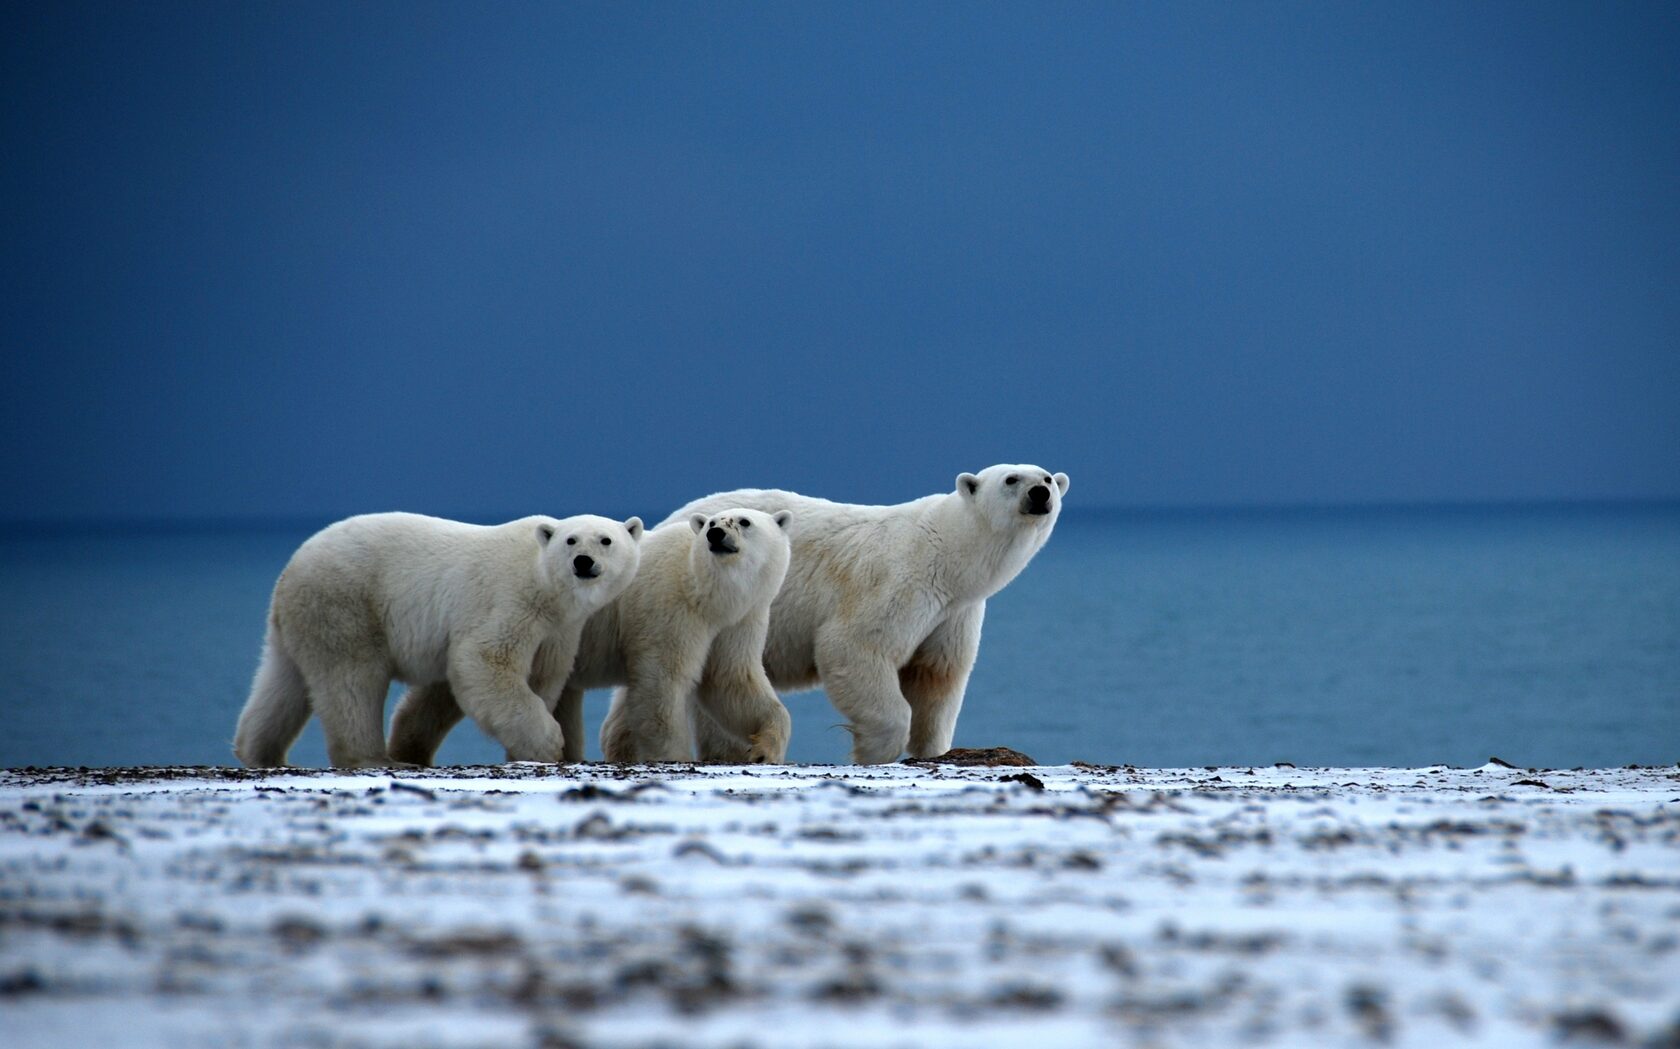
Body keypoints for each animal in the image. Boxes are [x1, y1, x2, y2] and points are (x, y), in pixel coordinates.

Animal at [240, 511, 645, 766]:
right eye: (571, 540)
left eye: (606, 540)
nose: (583, 561)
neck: (544, 585)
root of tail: (293, 565)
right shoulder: (508, 600)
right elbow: (485, 661)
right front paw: (548, 741)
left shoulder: (559, 629)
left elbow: (543, 677)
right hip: (345, 604)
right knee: (351, 682)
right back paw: (376, 758)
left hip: (301, 620)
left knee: (282, 683)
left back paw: (262, 753)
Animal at [386, 507, 792, 763]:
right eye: (710, 523)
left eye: (744, 521)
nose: (716, 533)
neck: (704, 590)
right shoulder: (668, 608)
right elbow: (662, 683)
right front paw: (674, 755)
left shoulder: (740, 620)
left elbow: (730, 680)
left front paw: (762, 748)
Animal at [665, 463, 1068, 766]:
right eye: (1011, 479)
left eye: (1047, 477)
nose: (1040, 494)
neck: (947, 553)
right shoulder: (897, 580)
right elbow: (854, 647)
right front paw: (873, 751)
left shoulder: (954, 613)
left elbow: (938, 675)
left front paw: (934, 749)